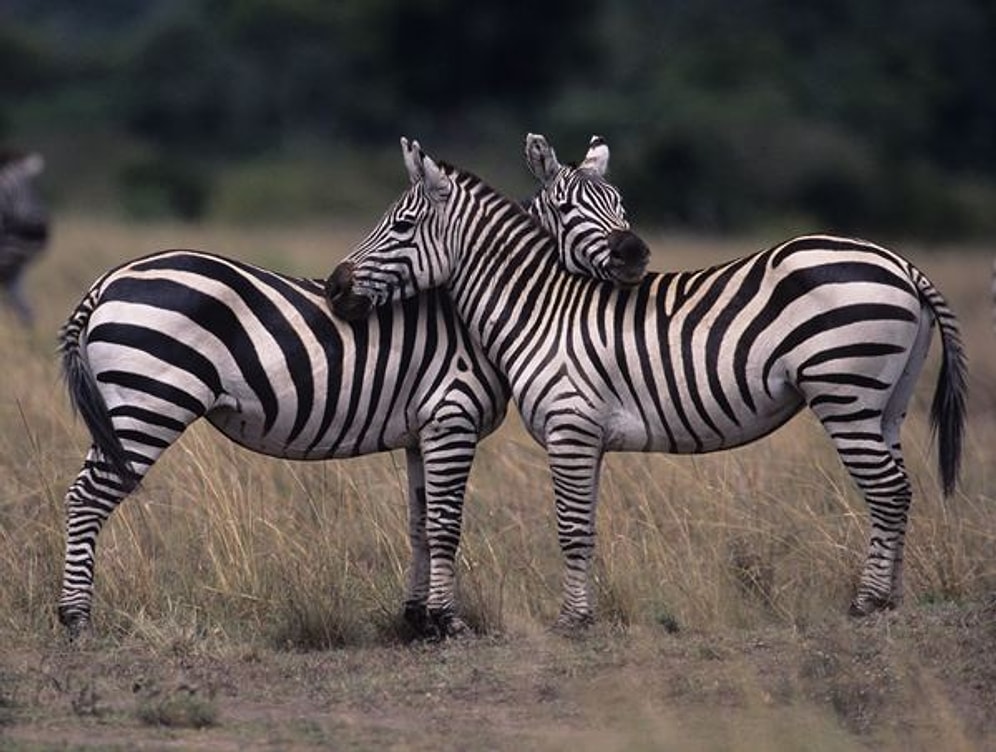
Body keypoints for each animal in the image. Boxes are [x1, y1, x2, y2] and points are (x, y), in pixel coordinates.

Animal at [54, 135, 640, 640]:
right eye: (568, 210)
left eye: (620, 203)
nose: (637, 254)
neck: (472, 309)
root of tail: (109, 280)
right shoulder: (452, 417)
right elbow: (446, 524)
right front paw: (447, 623)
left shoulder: (422, 431)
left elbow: (419, 523)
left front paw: (417, 620)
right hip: (148, 404)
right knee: (86, 498)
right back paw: (76, 618)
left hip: (126, 409)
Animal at [330, 138, 968, 632]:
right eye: (569, 206)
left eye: (401, 226)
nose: (336, 287)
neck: (542, 306)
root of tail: (899, 262)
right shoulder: (588, 438)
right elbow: (586, 526)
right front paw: (583, 613)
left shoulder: (569, 428)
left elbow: (570, 529)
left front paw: (572, 621)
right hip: (887, 402)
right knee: (899, 489)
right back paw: (890, 598)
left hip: (845, 391)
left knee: (888, 491)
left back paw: (869, 602)